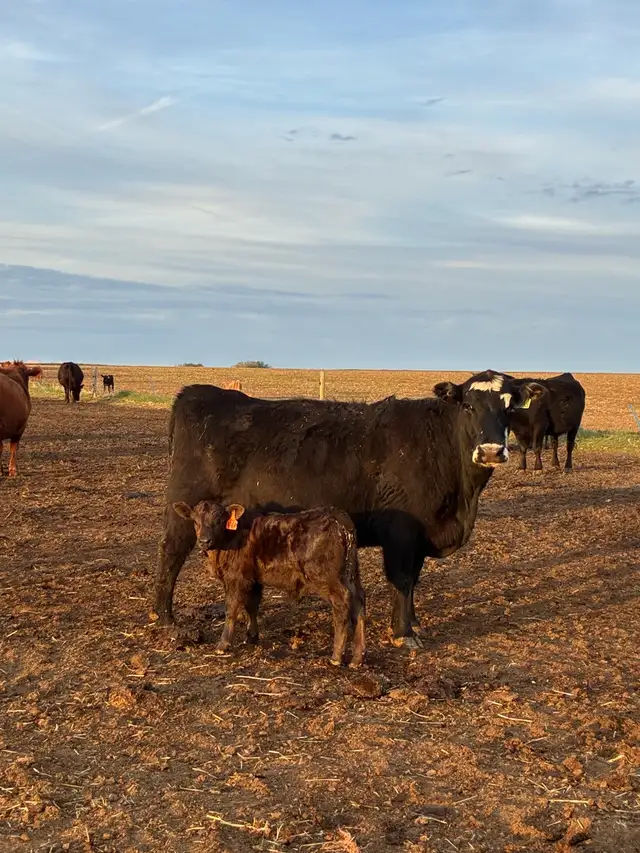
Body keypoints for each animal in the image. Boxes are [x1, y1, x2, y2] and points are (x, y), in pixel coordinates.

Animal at [154, 370, 545, 648]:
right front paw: (403, 633)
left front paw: (414, 622)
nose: (492, 451)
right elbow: (402, 579)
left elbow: (415, 579)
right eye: (468, 406)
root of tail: (201, 393)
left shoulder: (420, 536)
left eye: (509, 407)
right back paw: (165, 617)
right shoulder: (402, 533)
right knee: (171, 552)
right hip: (186, 509)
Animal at [172, 501, 366, 666]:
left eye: (219, 521)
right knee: (359, 601)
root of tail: (338, 517)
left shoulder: (236, 578)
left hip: (326, 577)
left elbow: (232, 608)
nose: (204, 541)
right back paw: (357, 659)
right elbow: (252, 605)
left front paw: (223, 644)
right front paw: (251, 636)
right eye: (195, 521)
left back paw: (336, 656)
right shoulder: (253, 578)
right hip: (351, 574)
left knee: (342, 603)